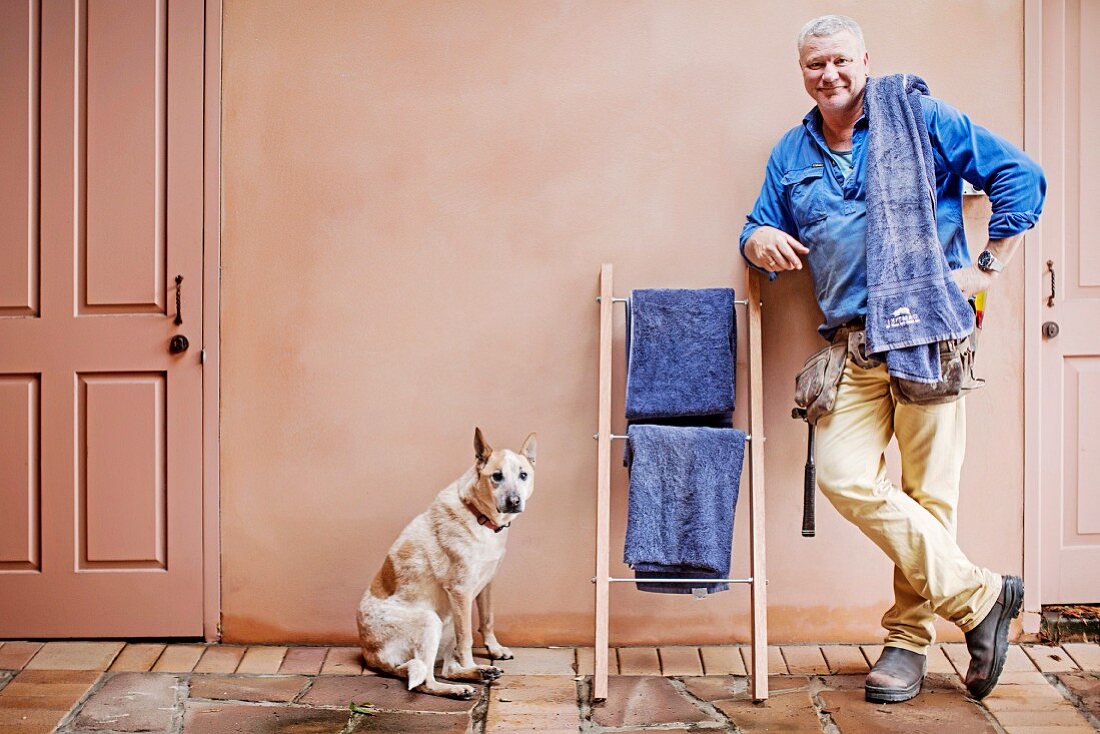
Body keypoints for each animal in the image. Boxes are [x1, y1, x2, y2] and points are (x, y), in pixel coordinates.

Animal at [356, 426, 536, 699]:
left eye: (523, 475)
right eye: (497, 476)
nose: (514, 501)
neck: (478, 515)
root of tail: (370, 655)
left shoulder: (486, 584)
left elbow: (487, 620)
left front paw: (494, 650)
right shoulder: (461, 591)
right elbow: (467, 640)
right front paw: (473, 661)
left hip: (448, 620)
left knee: (448, 669)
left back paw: (479, 673)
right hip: (433, 621)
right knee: (426, 680)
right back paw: (459, 686)